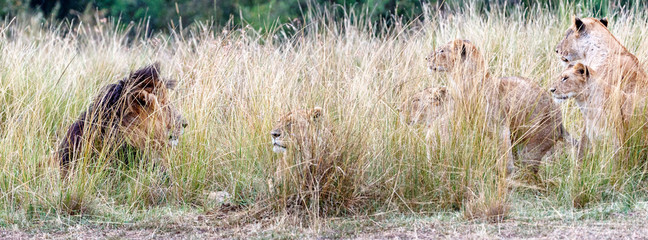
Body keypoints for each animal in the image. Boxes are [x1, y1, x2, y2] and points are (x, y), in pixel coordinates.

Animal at [430, 39, 572, 174]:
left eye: (441, 51)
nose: (427, 58)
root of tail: (561, 123)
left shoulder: (501, 127)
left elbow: (505, 158)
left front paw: (505, 174)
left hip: (533, 147)